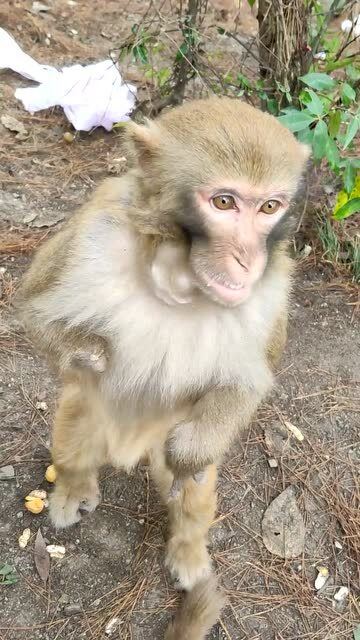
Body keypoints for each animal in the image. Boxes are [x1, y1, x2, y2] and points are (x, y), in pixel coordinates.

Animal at [14, 97, 310, 636]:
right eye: (224, 203)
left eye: (269, 207)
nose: (247, 260)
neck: (179, 280)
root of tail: (132, 449)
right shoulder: (95, 230)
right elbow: (34, 313)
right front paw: (88, 350)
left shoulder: (272, 292)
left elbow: (247, 382)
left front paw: (190, 454)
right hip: (87, 423)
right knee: (77, 427)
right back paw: (73, 485)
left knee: (192, 490)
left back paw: (189, 551)